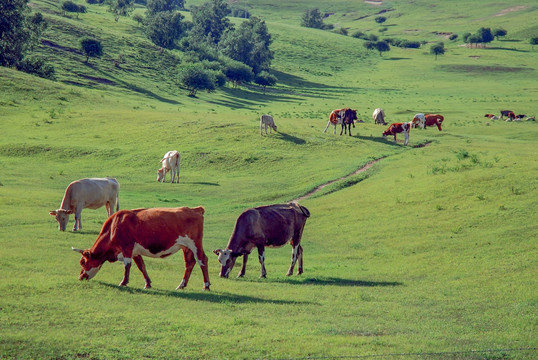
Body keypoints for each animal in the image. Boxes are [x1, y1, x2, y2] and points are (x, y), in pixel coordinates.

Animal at [72, 207, 210, 292]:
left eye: (83, 262)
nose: (80, 277)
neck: (114, 227)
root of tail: (194, 209)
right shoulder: (135, 252)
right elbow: (141, 266)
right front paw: (147, 283)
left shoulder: (127, 248)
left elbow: (127, 266)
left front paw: (124, 282)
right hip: (186, 247)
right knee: (189, 263)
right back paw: (181, 285)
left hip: (195, 244)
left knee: (202, 260)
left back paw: (206, 286)